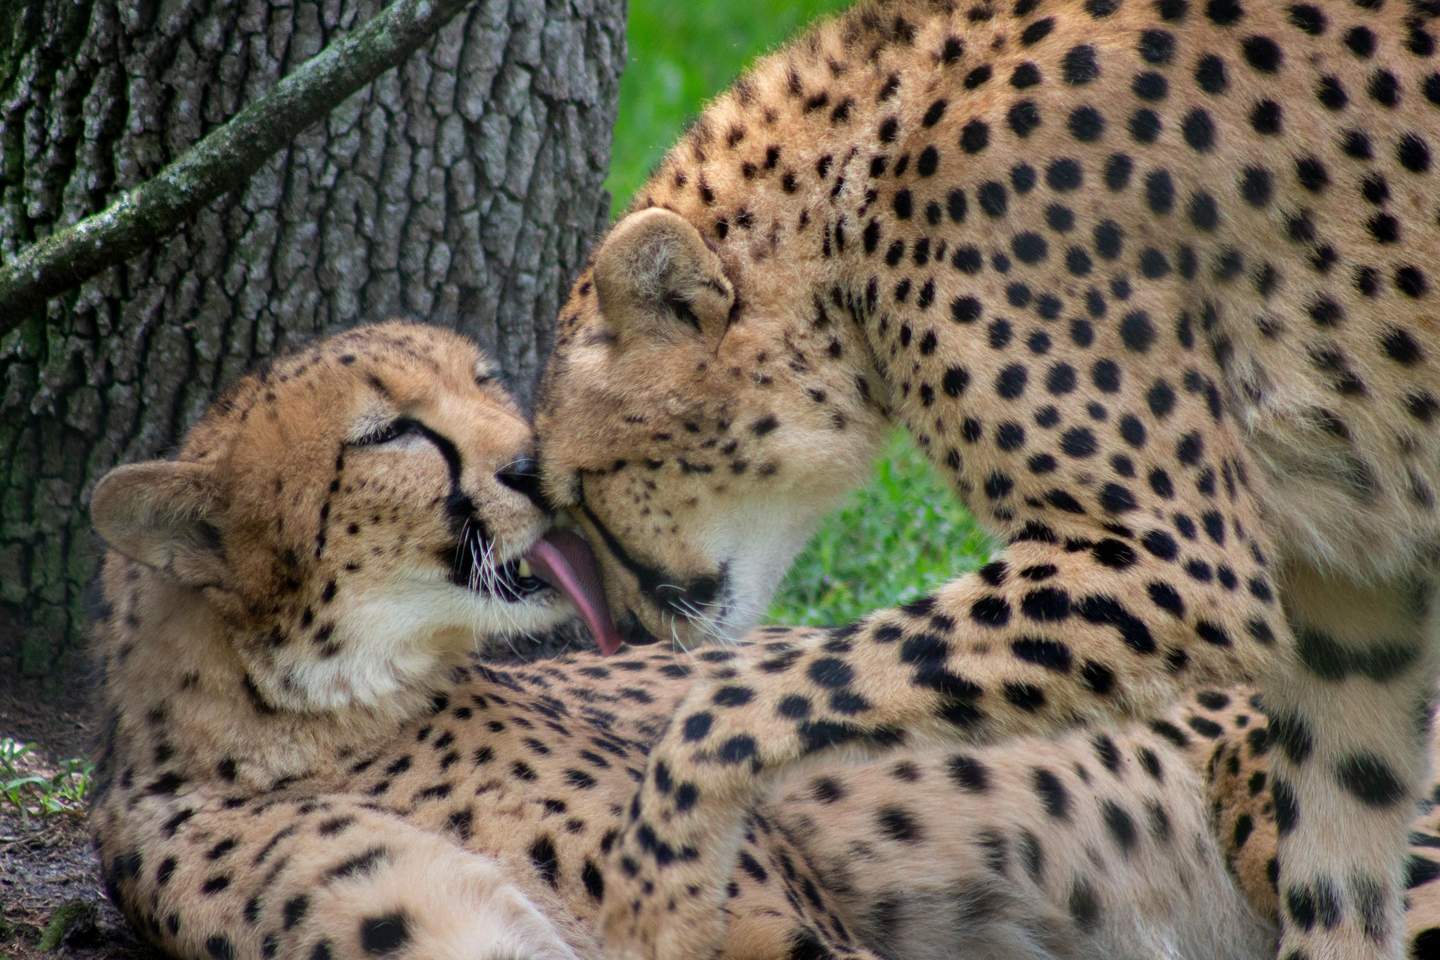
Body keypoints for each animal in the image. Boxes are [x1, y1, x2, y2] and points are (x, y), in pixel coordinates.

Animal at [531, 2, 1440, 958]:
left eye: (583, 488)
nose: (625, 635)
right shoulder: (1355, 600)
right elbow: (1342, 854)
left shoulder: (1180, 561)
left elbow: (758, 686)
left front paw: (656, 869)